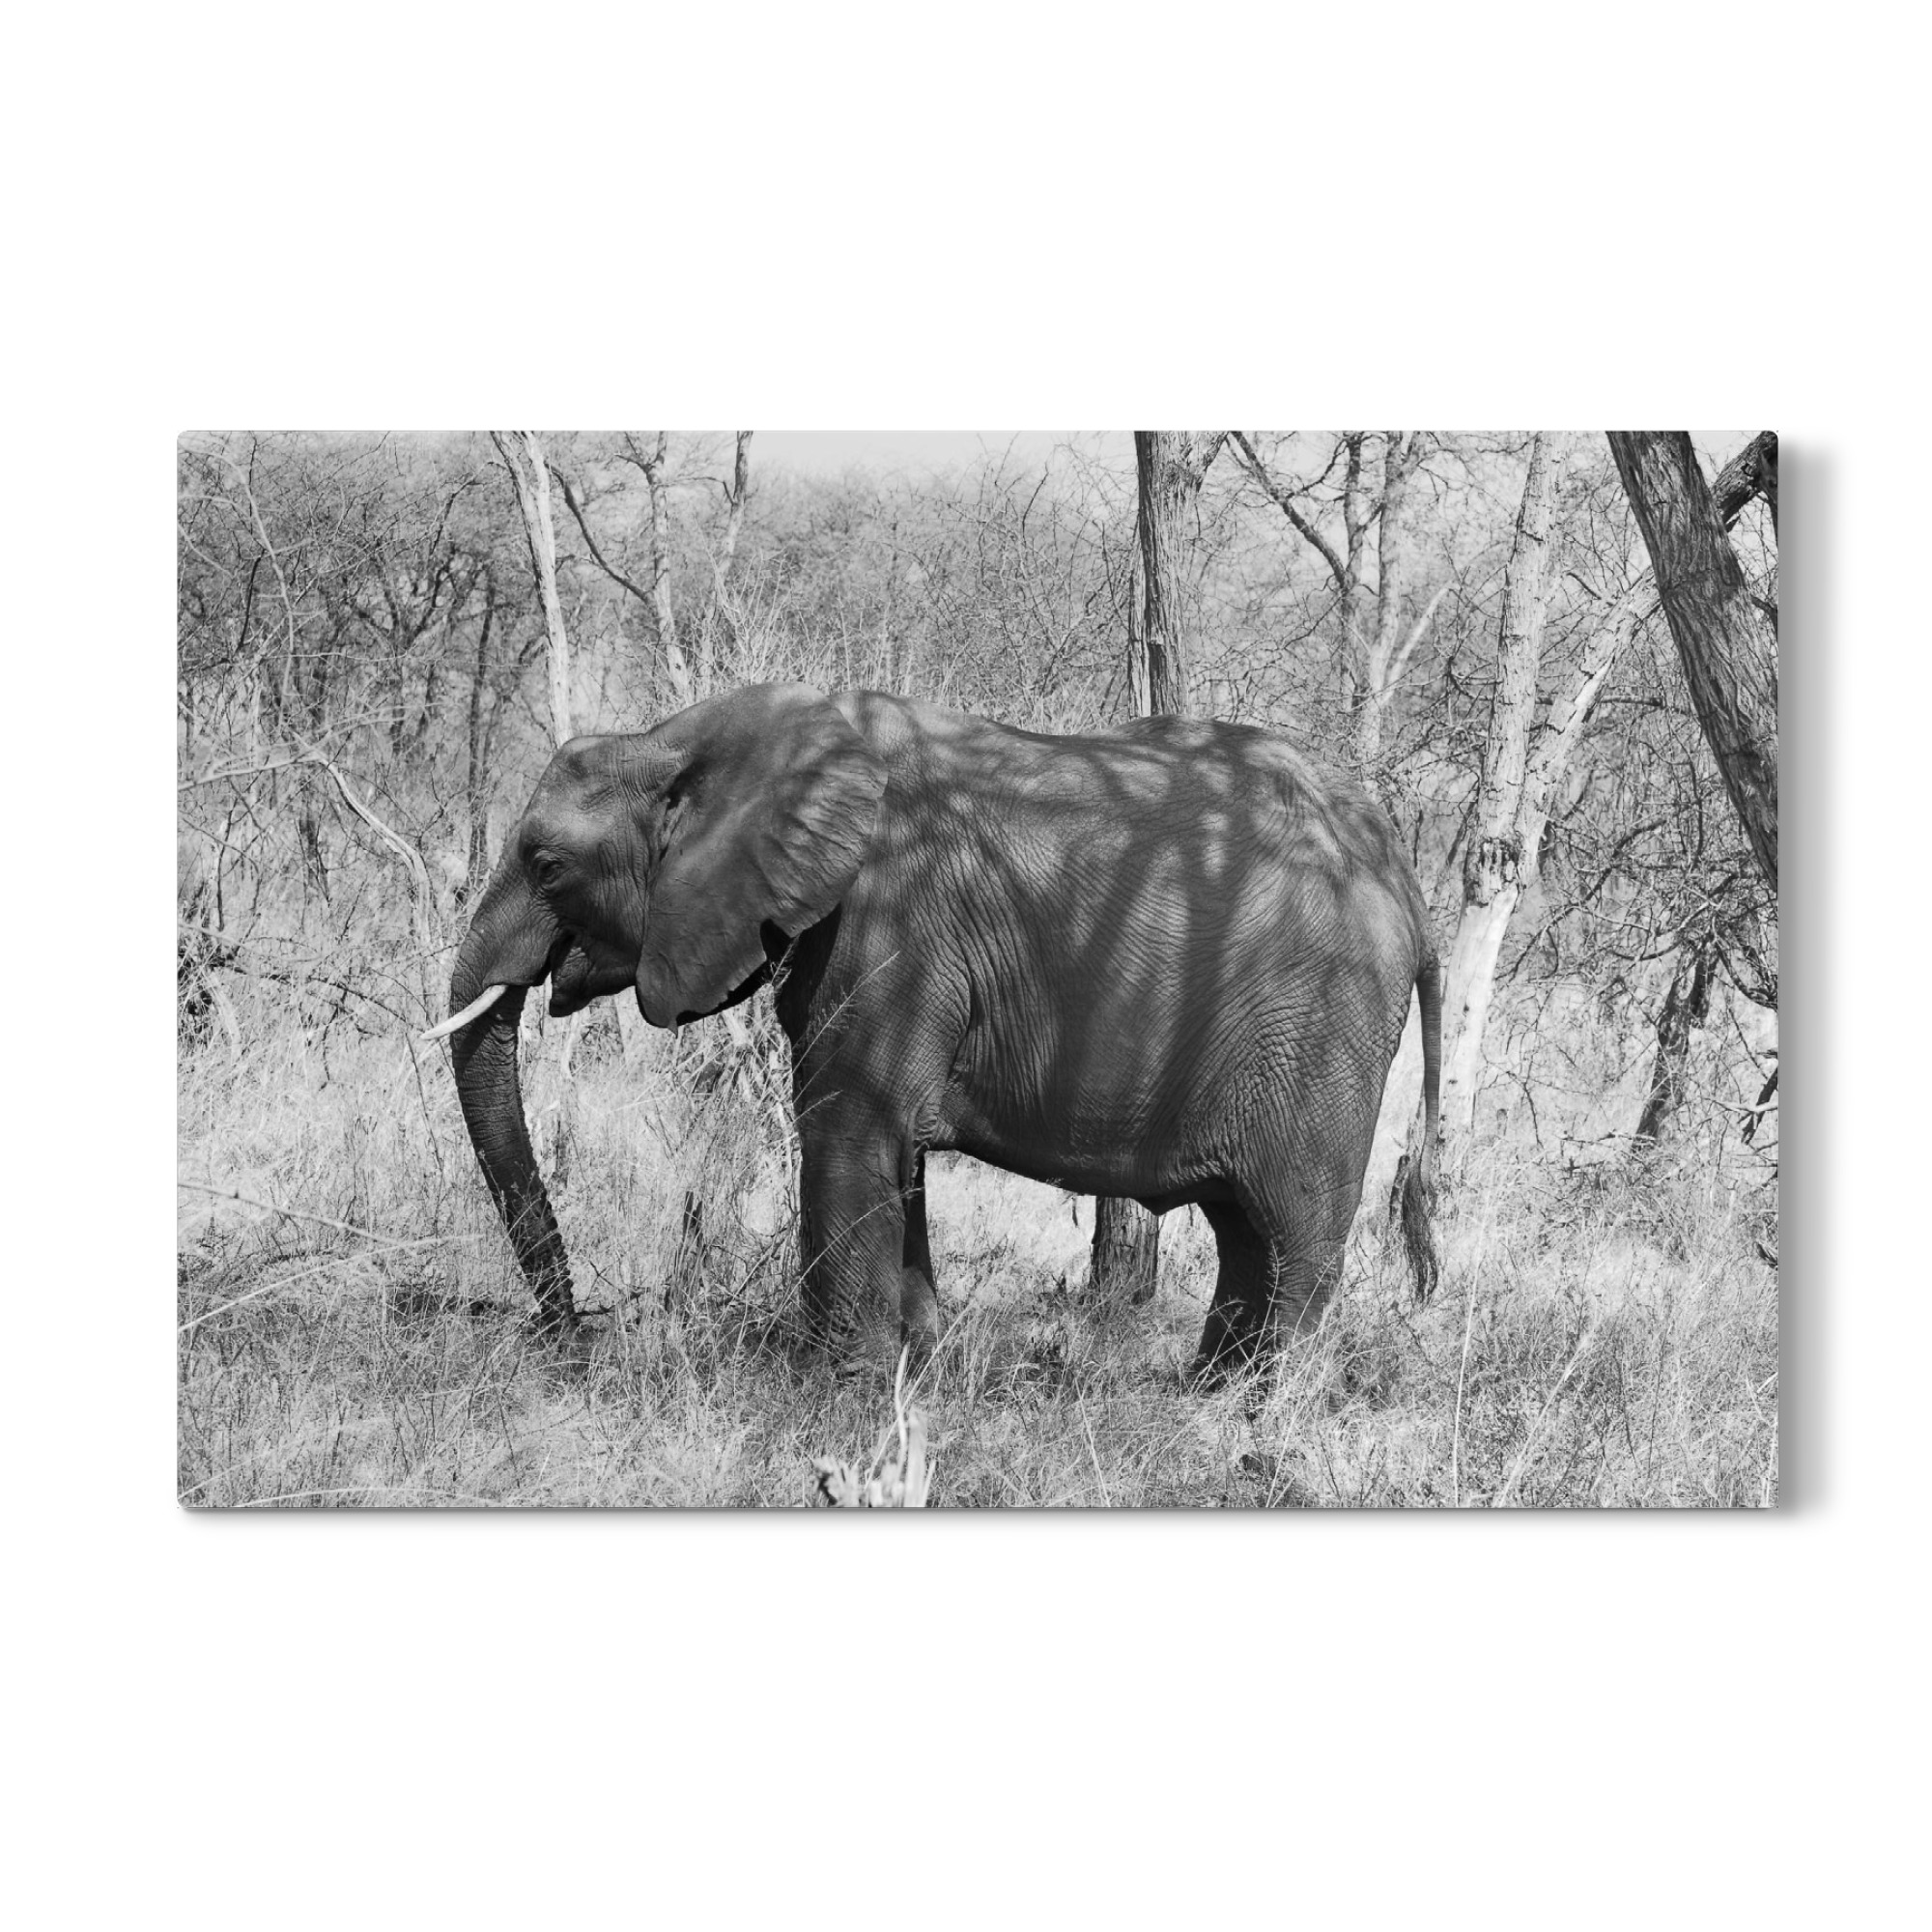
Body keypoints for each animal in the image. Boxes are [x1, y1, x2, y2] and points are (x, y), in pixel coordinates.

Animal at [426, 682, 1443, 1379]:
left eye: (546, 866)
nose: (571, 1335)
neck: (691, 739)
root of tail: (1404, 874)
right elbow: (892, 1147)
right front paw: (914, 1370)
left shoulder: (890, 925)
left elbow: (847, 1127)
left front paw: (832, 1388)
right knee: (1244, 1229)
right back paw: (1207, 1390)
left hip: (1320, 1026)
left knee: (1293, 1227)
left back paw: (1261, 1407)